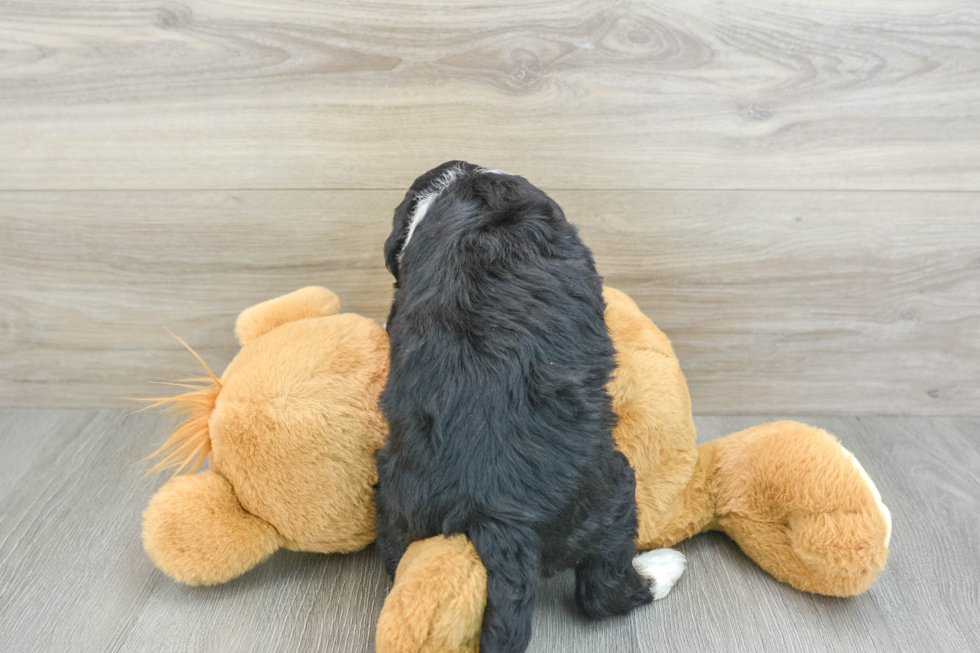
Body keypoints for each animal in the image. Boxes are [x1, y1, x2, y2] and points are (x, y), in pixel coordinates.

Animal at [378, 160, 656, 648]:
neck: (464, 186)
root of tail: (495, 515)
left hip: (402, 511)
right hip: (613, 493)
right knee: (602, 591)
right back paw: (659, 571)